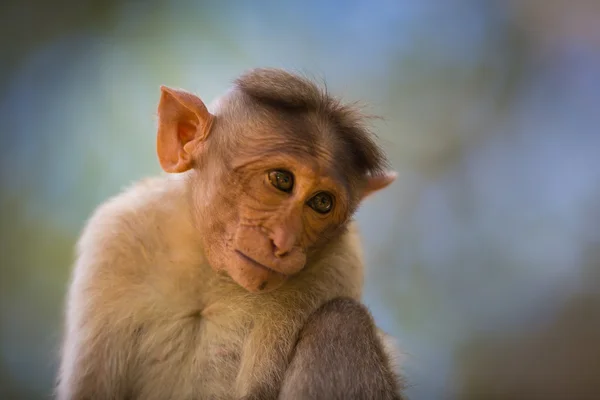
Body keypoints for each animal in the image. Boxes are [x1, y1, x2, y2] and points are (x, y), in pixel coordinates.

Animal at [57, 67, 404, 398]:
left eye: (321, 202)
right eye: (282, 180)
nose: (284, 243)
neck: (210, 271)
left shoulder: (334, 268)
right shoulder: (116, 238)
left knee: (342, 320)